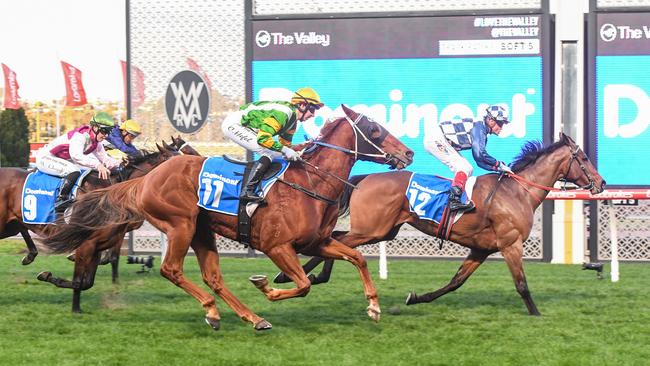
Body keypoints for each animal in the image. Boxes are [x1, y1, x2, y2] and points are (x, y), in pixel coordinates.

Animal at [39, 104, 416, 330]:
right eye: (376, 130)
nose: (408, 153)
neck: (310, 184)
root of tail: (145, 179)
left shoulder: (317, 242)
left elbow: (356, 258)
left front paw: (374, 307)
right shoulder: (277, 246)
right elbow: (304, 285)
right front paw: (266, 287)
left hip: (201, 231)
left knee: (214, 278)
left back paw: (251, 317)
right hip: (181, 225)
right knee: (170, 269)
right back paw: (213, 310)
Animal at [272, 133, 604, 316]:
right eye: (585, 158)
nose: (601, 183)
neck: (517, 191)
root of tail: (364, 177)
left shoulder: (481, 249)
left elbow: (455, 282)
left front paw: (416, 298)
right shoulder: (511, 244)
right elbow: (521, 285)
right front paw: (536, 315)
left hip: (383, 229)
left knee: (337, 239)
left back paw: (302, 275)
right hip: (372, 228)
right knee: (339, 241)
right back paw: (296, 275)